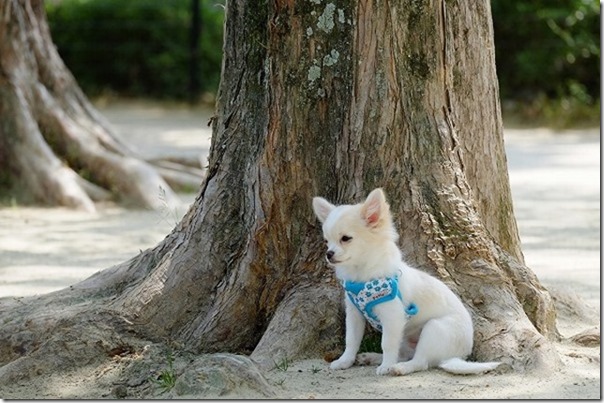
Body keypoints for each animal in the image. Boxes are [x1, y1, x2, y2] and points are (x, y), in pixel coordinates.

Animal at [312, 189, 500, 376]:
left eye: (345, 238)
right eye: (327, 241)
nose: (329, 254)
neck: (362, 275)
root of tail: (459, 355)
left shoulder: (393, 316)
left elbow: (387, 343)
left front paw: (386, 366)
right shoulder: (354, 313)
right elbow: (351, 340)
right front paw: (345, 361)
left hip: (434, 329)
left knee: (420, 362)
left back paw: (399, 367)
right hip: (408, 338)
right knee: (404, 355)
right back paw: (371, 357)